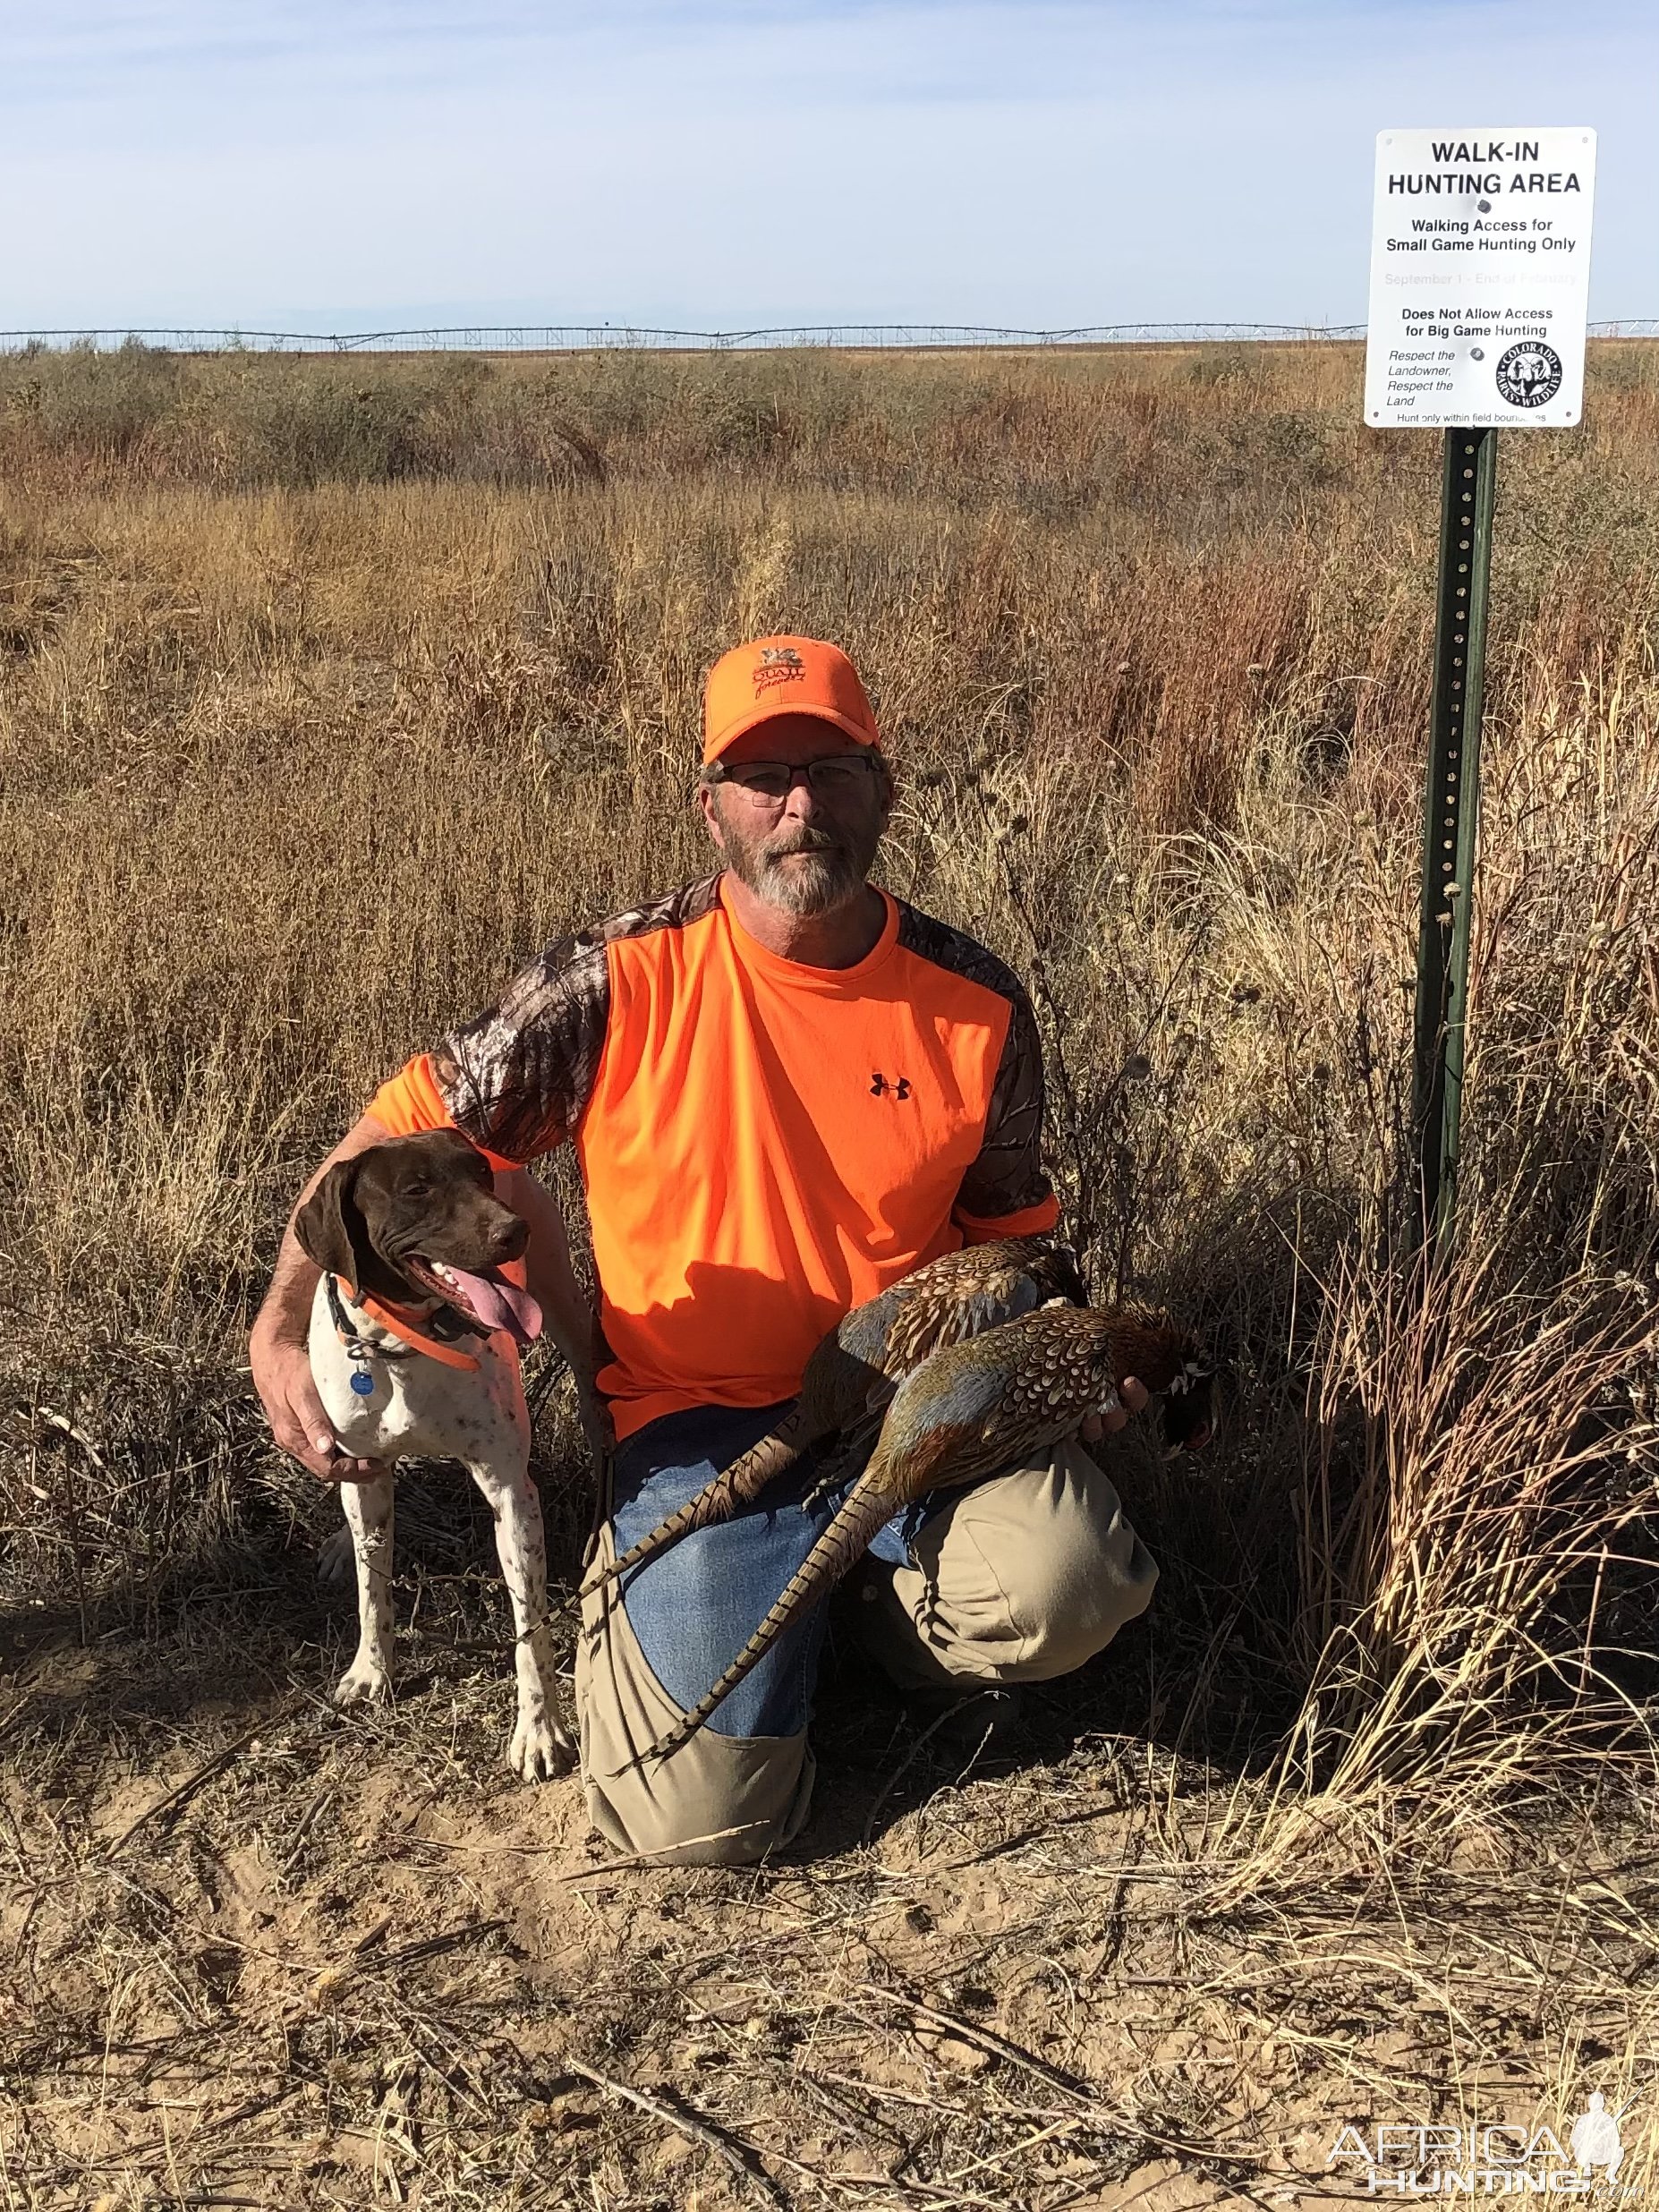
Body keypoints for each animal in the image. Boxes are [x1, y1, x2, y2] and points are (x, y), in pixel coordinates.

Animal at [296, 1132, 579, 1787]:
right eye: (416, 1189)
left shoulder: (509, 1490)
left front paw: (539, 1730)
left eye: (480, 1173)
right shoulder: (366, 1473)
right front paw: (372, 1670)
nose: (513, 1231)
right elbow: (372, 1587)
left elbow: (529, 1625)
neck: (400, 1348)